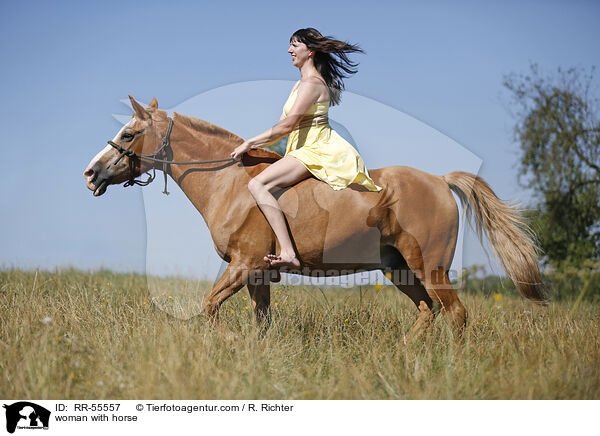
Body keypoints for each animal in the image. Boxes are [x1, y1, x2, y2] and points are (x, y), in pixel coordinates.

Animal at [85, 96, 548, 338]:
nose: (91, 173)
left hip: (431, 267)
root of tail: (439, 179)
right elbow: (261, 322)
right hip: (397, 269)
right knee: (426, 312)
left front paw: (230, 342)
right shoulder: (257, 274)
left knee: (455, 314)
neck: (229, 183)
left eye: (129, 134)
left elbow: (209, 306)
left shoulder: (244, 264)